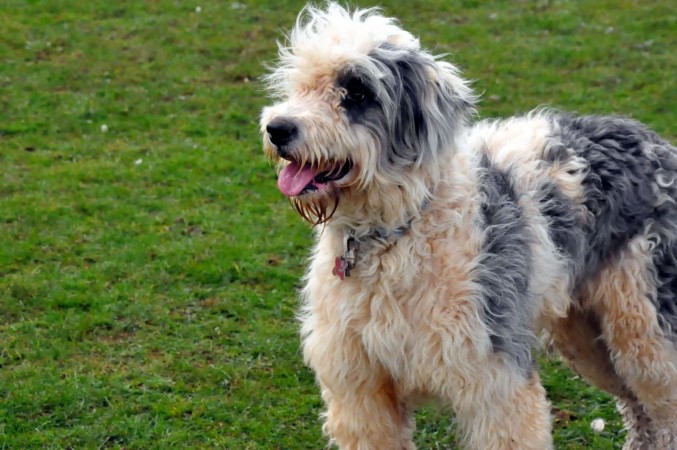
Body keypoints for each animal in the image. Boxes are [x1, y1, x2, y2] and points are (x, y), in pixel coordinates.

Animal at [258, 4, 676, 450]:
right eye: (301, 85)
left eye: (357, 93)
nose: (278, 128)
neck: (391, 237)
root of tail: (656, 143)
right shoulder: (362, 390)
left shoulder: (495, 379)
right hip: (588, 336)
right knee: (638, 411)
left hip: (647, 335)